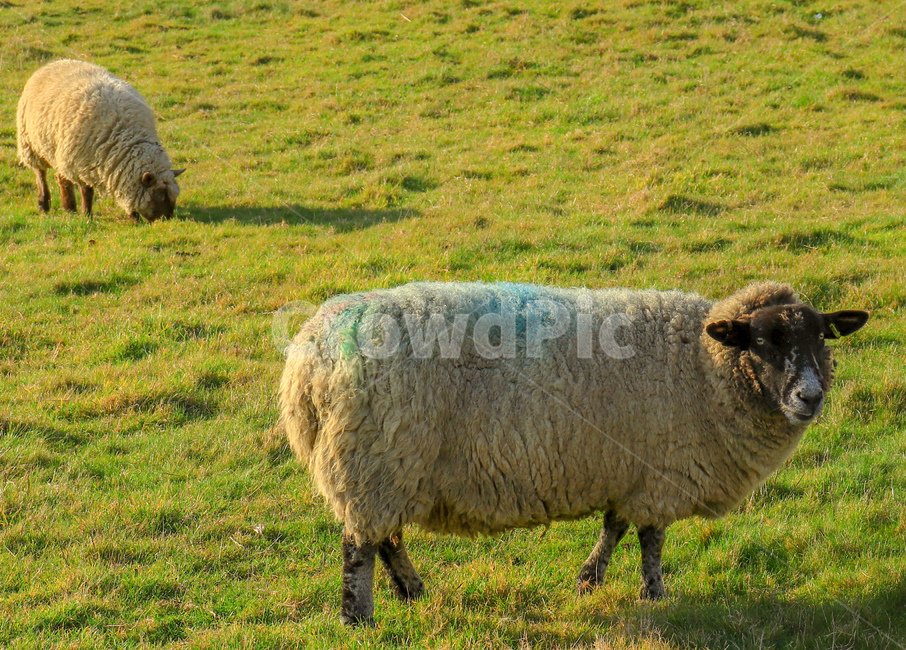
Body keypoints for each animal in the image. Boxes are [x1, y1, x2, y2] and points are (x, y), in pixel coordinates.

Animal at [16, 59, 184, 222]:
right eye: (159, 196)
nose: (167, 219)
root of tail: (56, 62)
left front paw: (133, 218)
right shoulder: (80, 163)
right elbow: (87, 192)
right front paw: (87, 215)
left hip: (58, 149)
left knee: (62, 178)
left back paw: (69, 208)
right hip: (31, 144)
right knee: (41, 174)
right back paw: (44, 205)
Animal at [277, 280, 868, 625]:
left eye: (822, 338)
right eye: (763, 342)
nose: (810, 397)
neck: (704, 366)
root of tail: (308, 357)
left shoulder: (629, 468)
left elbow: (615, 526)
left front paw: (590, 579)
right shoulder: (660, 472)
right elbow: (650, 540)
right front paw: (655, 596)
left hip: (390, 467)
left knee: (384, 537)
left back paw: (413, 591)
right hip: (375, 458)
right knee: (359, 546)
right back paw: (360, 617)